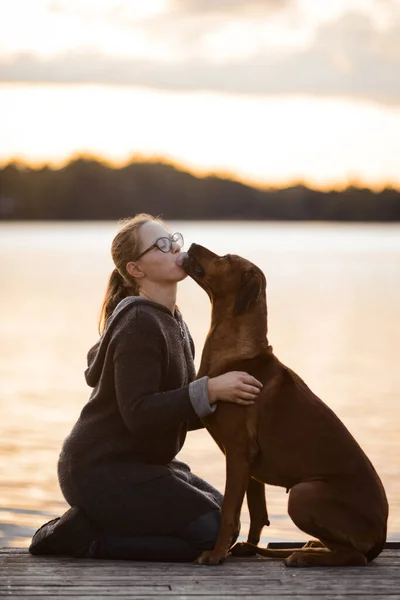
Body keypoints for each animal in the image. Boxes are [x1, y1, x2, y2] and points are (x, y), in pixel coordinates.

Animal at [184, 244, 388, 568]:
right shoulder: (249, 463)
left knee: (354, 556)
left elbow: (229, 512)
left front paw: (216, 555)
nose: (191, 246)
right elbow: (256, 514)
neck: (235, 350)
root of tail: (380, 539)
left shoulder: (238, 453)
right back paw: (308, 546)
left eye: (226, 258)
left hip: (304, 494)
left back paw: (303, 556)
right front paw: (242, 547)